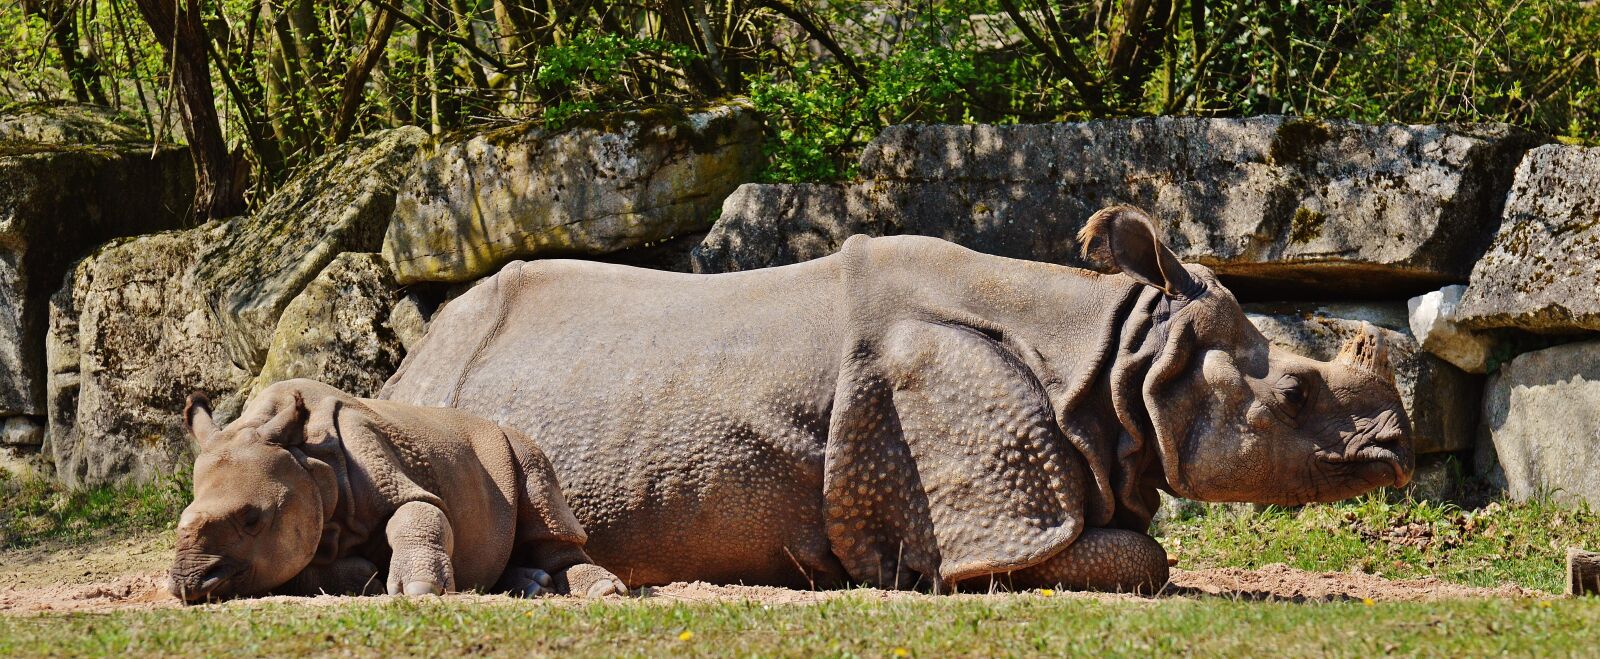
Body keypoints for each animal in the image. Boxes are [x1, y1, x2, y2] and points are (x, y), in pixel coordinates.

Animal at [168, 378, 628, 601]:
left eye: (252, 519)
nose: (188, 585)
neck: (310, 464)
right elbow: (301, 570)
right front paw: (367, 577)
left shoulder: (384, 468)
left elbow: (417, 511)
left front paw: (420, 589)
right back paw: (534, 587)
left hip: (517, 447)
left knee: (539, 490)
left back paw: (603, 592)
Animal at [380, 205, 1414, 593]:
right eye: (1294, 388)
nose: (1397, 449)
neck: (1118, 358)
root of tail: (415, 360)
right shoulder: (983, 485)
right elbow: (1140, 557)